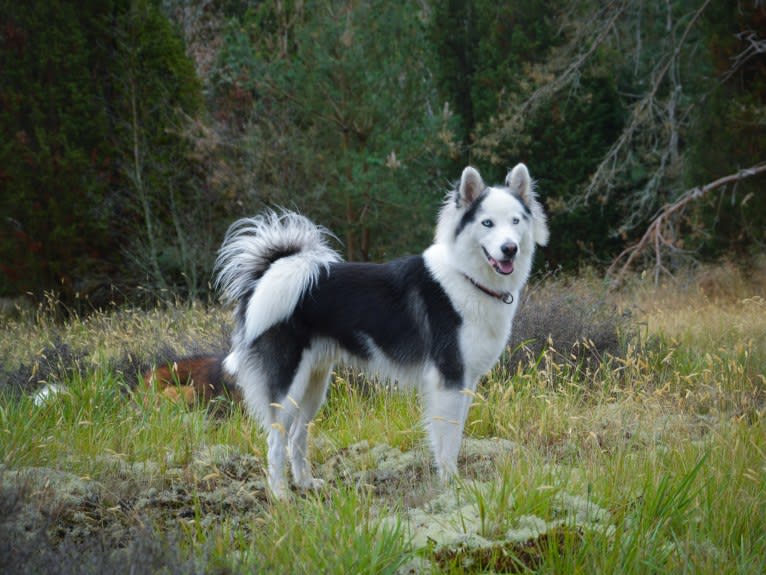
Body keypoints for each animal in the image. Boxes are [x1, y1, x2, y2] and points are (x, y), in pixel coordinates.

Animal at [216, 164, 548, 498]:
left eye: (515, 221)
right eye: (487, 223)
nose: (509, 249)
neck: (467, 278)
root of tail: (270, 273)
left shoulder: (465, 381)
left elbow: (454, 435)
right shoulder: (448, 379)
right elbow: (448, 439)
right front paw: (451, 484)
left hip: (314, 384)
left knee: (297, 434)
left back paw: (306, 483)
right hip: (288, 386)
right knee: (275, 440)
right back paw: (282, 495)